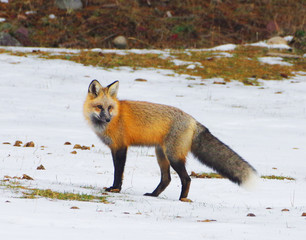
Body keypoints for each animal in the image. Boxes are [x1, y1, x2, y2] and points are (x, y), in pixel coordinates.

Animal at [82, 79, 256, 202]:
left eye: (110, 108)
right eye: (99, 107)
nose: (107, 119)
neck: (115, 117)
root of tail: (193, 120)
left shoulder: (121, 147)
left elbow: (119, 172)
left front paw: (116, 189)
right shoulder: (114, 148)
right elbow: (117, 171)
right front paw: (114, 187)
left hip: (174, 156)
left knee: (186, 178)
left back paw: (182, 199)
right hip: (161, 155)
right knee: (167, 179)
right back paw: (153, 195)